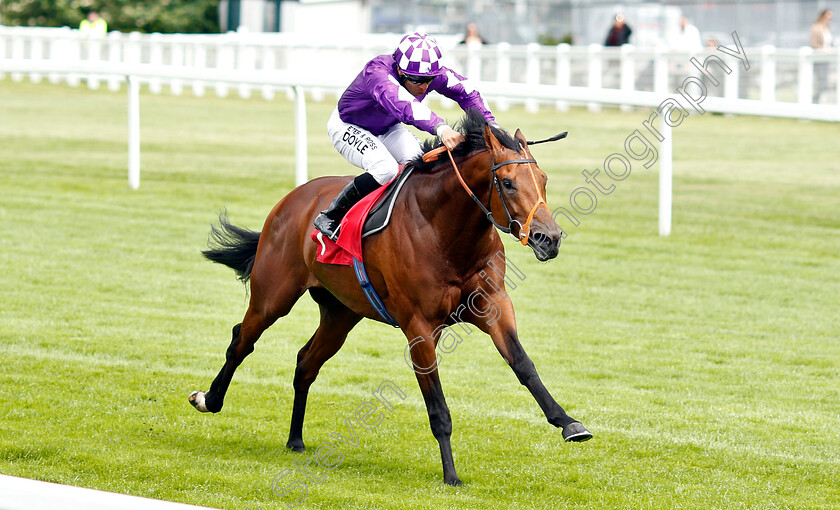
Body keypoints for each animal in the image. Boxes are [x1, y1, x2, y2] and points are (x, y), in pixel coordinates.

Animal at [190, 110, 592, 486]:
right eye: (507, 183)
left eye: (543, 180)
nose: (549, 238)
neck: (445, 230)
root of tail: (291, 199)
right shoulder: (419, 326)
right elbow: (438, 406)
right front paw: (451, 474)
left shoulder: (493, 306)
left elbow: (523, 365)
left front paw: (569, 423)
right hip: (274, 295)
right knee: (242, 340)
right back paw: (209, 399)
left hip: (340, 313)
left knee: (306, 362)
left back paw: (295, 439)